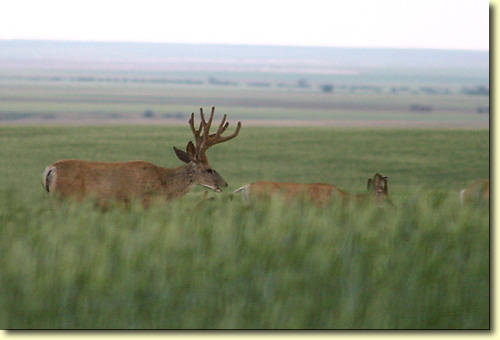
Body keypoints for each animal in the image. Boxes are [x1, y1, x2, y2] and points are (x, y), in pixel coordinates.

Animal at [42, 106, 241, 207]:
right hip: (66, 198)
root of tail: (51, 169)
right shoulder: (144, 204)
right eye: (209, 169)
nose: (224, 184)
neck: (165, 185)